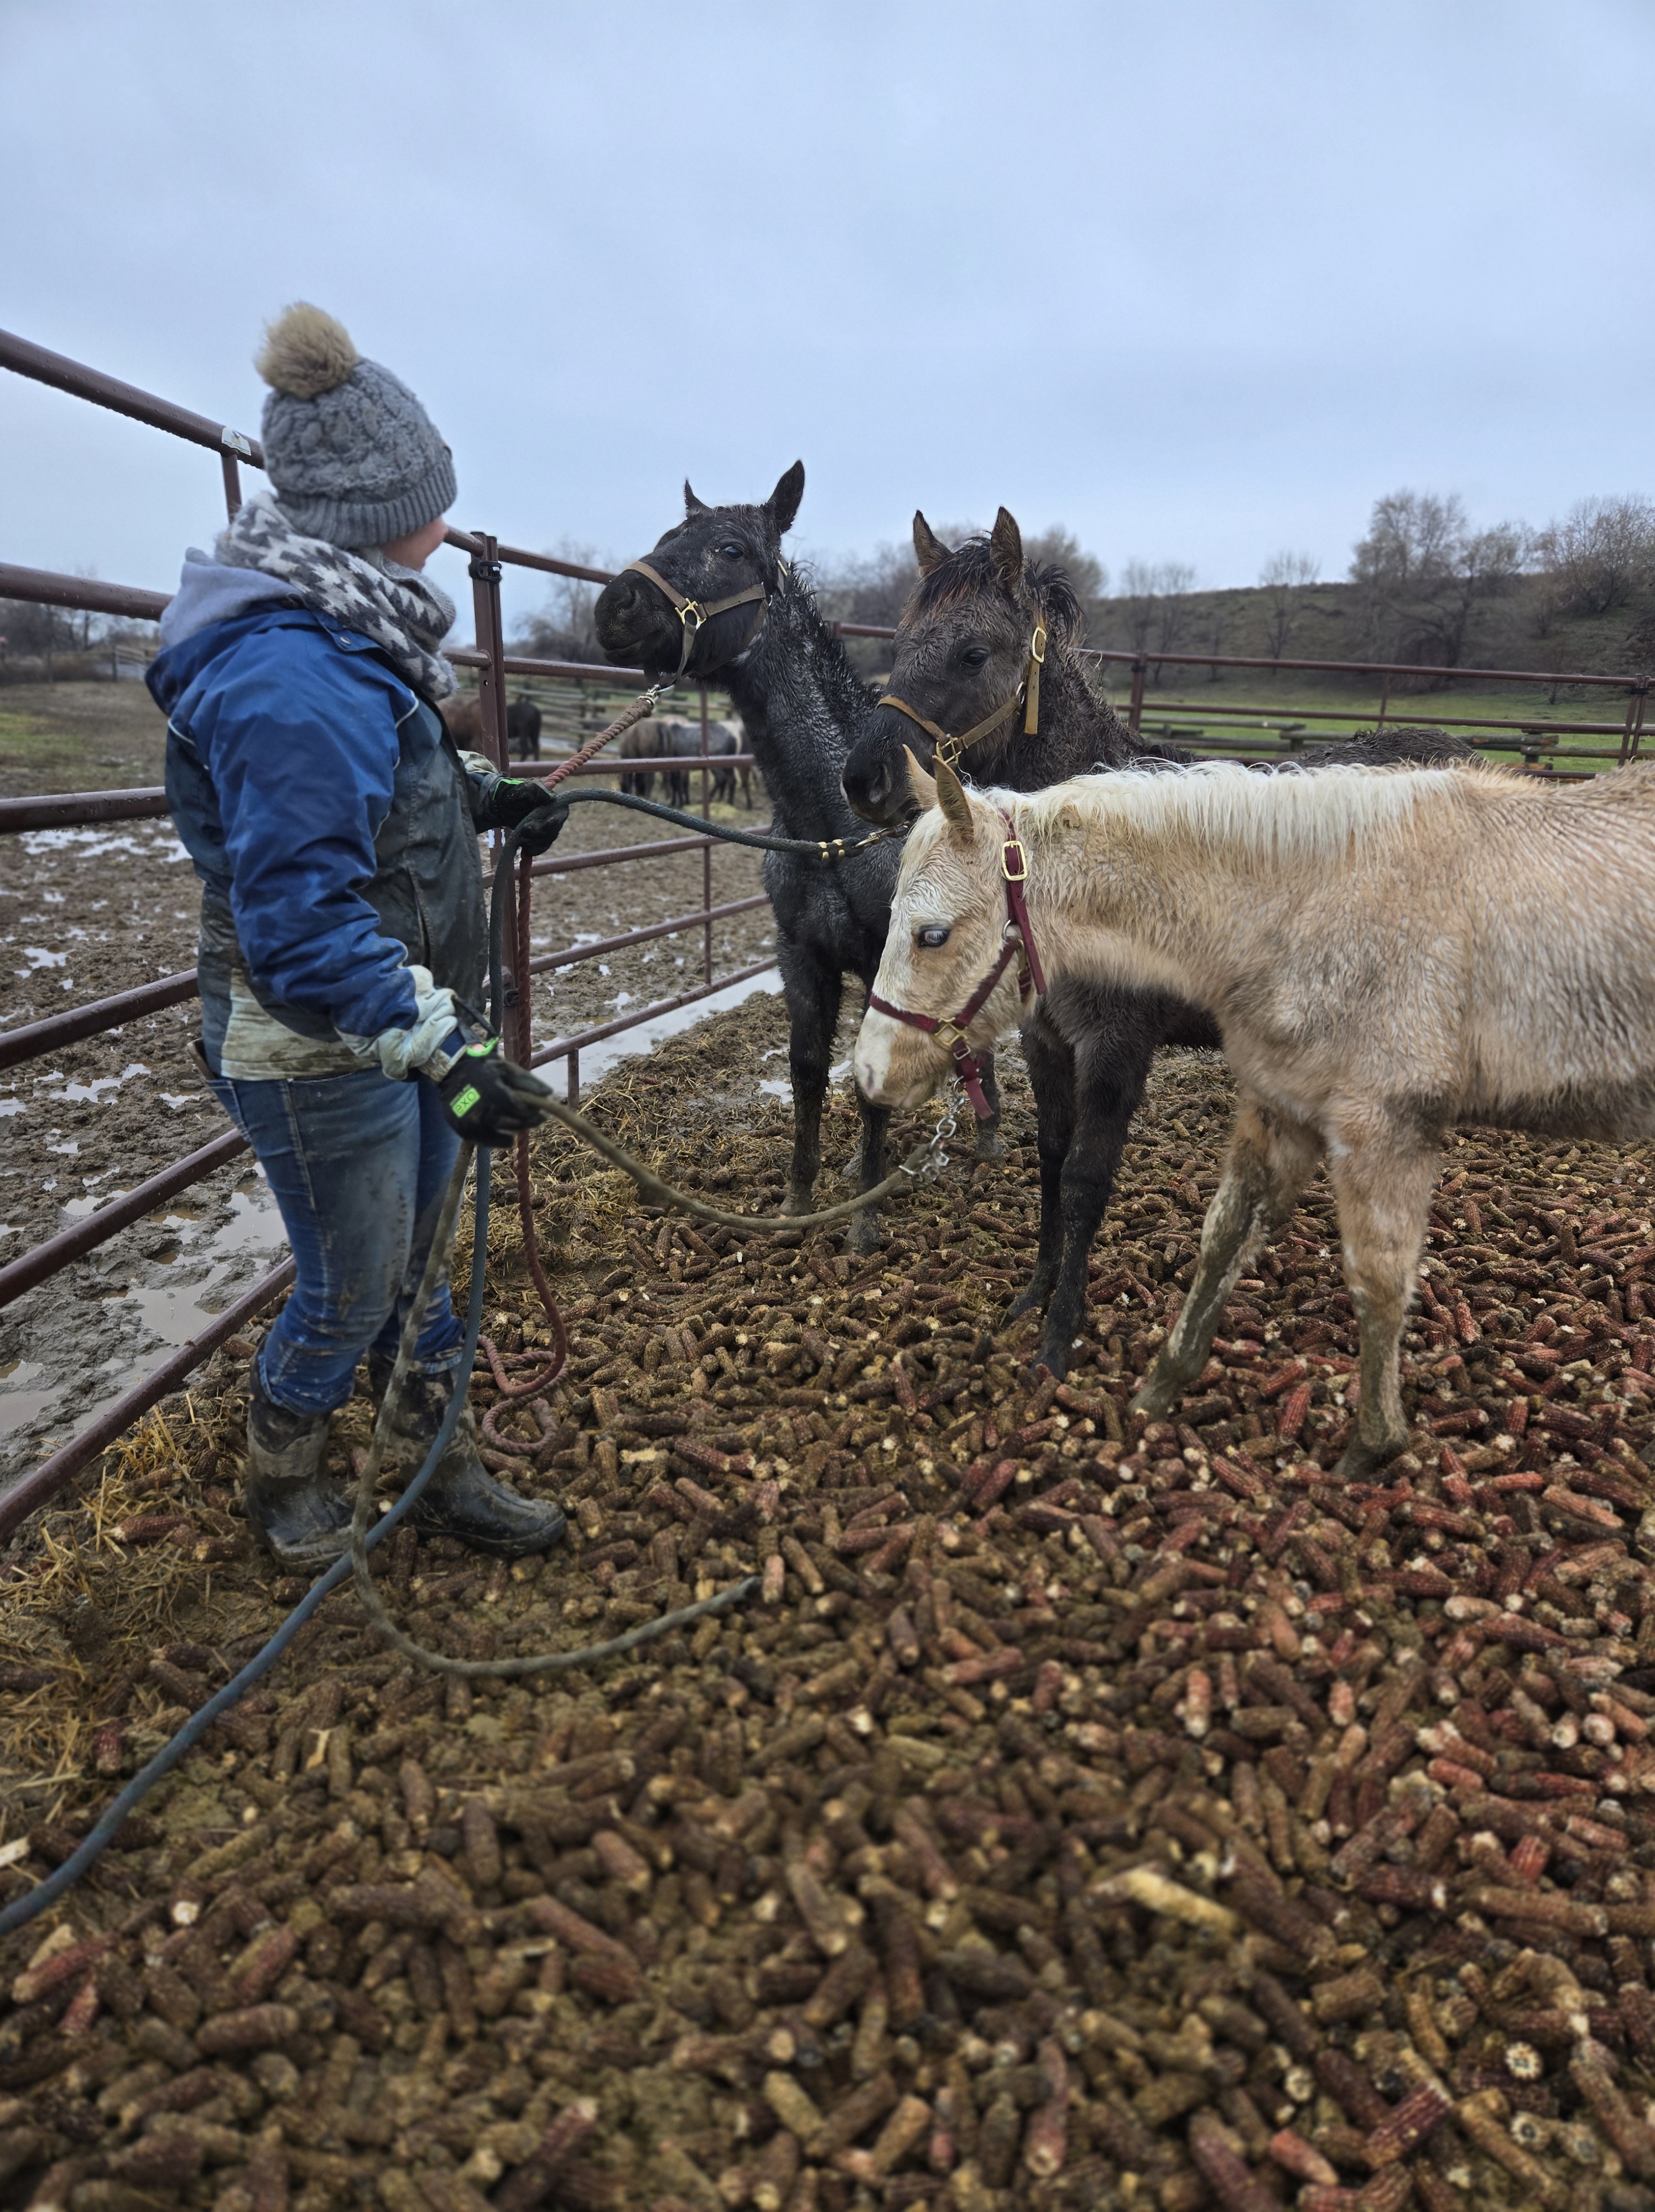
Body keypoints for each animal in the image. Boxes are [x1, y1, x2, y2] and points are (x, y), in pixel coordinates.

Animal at [593, 463, 1002, 1249]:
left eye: (728, 549)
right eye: (667, 534)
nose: (613, 606)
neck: (831, 828)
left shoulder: (883, 957)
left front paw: (864, 1222)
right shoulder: (800, 953)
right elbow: (810, 1068)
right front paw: (799, 1199)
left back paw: (985, 1142)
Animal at [839, 508, 1471, 1376]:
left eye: (973, 652)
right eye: (899, 644)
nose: (864, 779)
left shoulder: (1117, 1045)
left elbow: (1085, 1179)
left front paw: (1059, 1337)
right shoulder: (1047, 1039)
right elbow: (1050, 1158)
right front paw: (1033, 1294)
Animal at [857, 750, 1655, 1476]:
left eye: (932, 934)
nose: (868, 1073)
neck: (1310, 910)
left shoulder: (1385, 1127)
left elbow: (1377, 1281)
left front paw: (1372, 1447)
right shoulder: (1281, 1106)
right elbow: (1223, 1235)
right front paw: (1158, 1389)